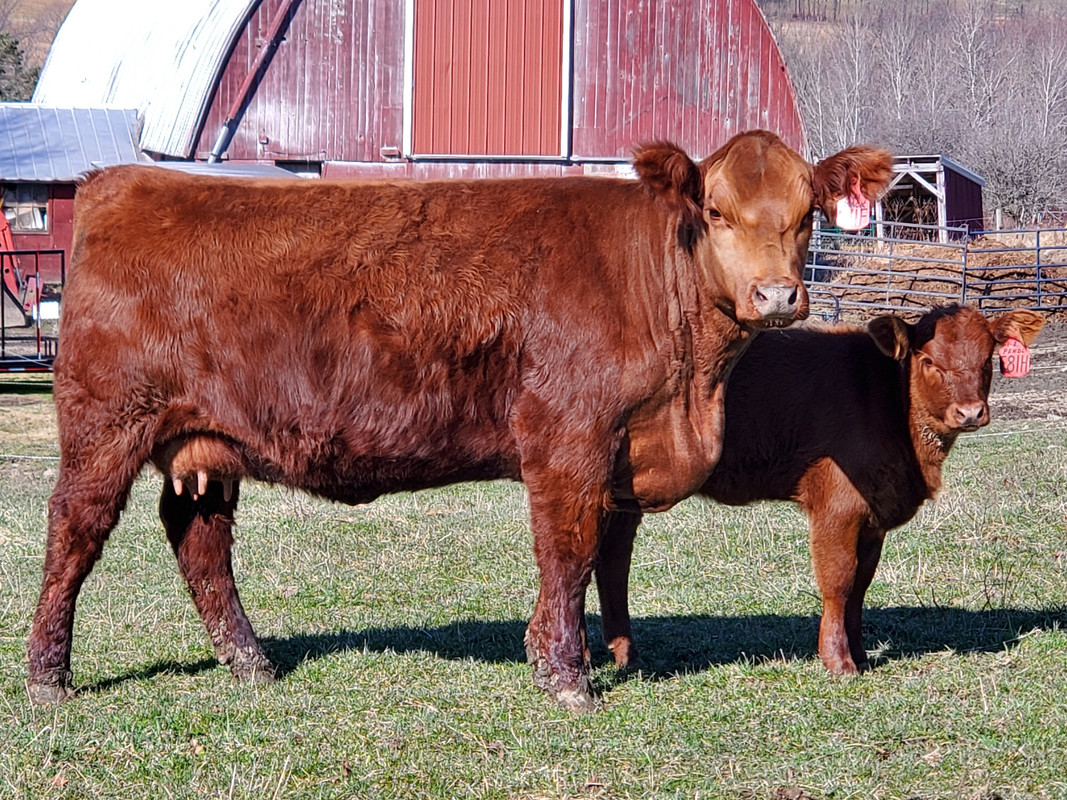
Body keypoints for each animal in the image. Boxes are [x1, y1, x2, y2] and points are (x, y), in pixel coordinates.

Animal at [27, 130, 893, 711]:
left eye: (807, 214)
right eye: (715, 210)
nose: (776, 295)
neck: (690, 389)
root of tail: (122, 181)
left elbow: (595, 562)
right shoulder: (566, 440)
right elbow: (567, 554)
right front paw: (565, 675)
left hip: (205, 445)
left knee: (199, 541)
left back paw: (250, 662)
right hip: (106, 426)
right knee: (74, 533)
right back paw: (48, 676)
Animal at [594, 304, 1045, 676]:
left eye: (987, 359)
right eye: (929, 360)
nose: (970, 412)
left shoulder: (872, 517)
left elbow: (861, 584)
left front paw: (860, 652)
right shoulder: (837, 506)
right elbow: (838, 580)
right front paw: (838, 660)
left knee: (612, 561)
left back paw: (624, 655)